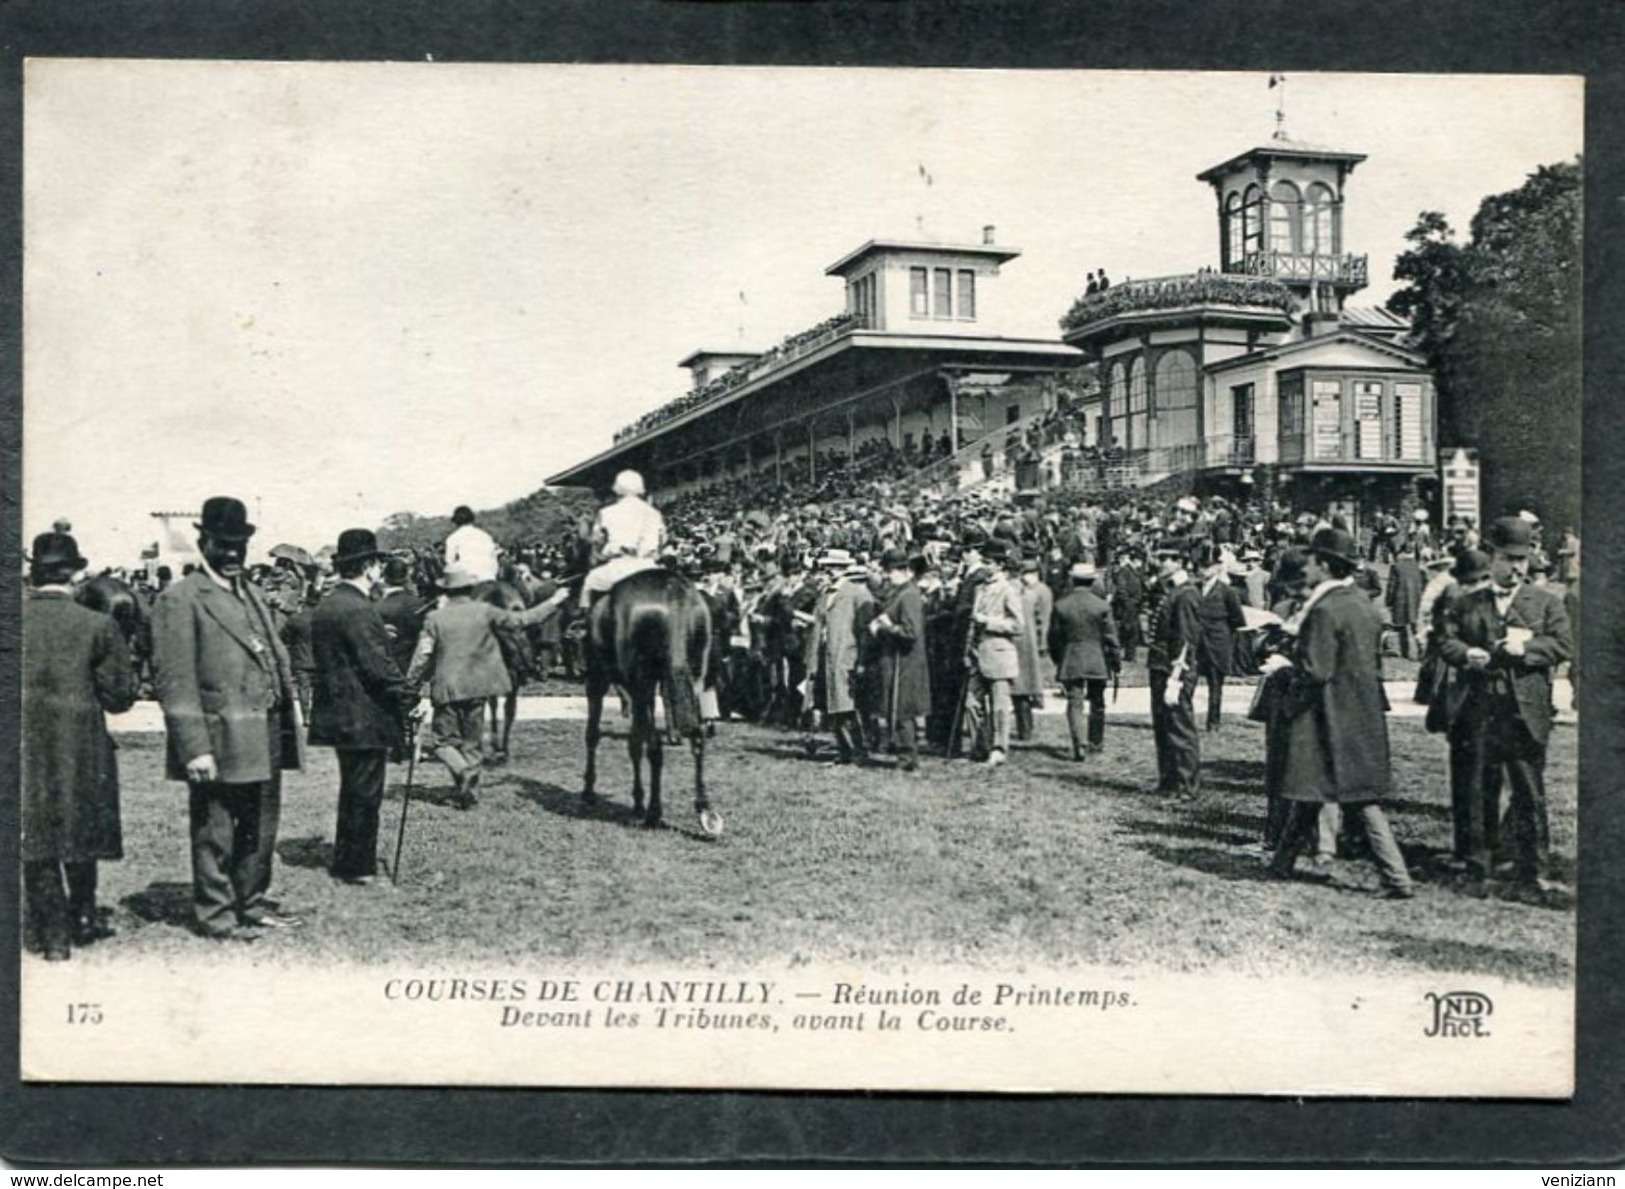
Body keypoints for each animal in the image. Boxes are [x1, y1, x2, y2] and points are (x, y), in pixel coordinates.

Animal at [578, 565, 718, 838]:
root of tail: (674, 594)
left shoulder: (600, 679)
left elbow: (595, 734)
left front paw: (591, 790)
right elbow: (635, 740)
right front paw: (637, 801)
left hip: (635, 681)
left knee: (653, 745)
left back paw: (653, 812)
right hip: (694, 676)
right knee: (697, 737)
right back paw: (704, 809)